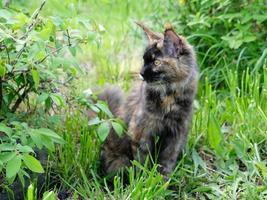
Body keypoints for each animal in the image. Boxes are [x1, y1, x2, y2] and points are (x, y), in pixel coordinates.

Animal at [99, 22, 199, 179]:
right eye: (144, 60)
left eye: (156, 62)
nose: (141, 73)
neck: (168, 97)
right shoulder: (142, 130)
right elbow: (142, 159)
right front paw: (143, 179)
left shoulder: (177, 132)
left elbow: (167, 160)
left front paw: (163, 180)